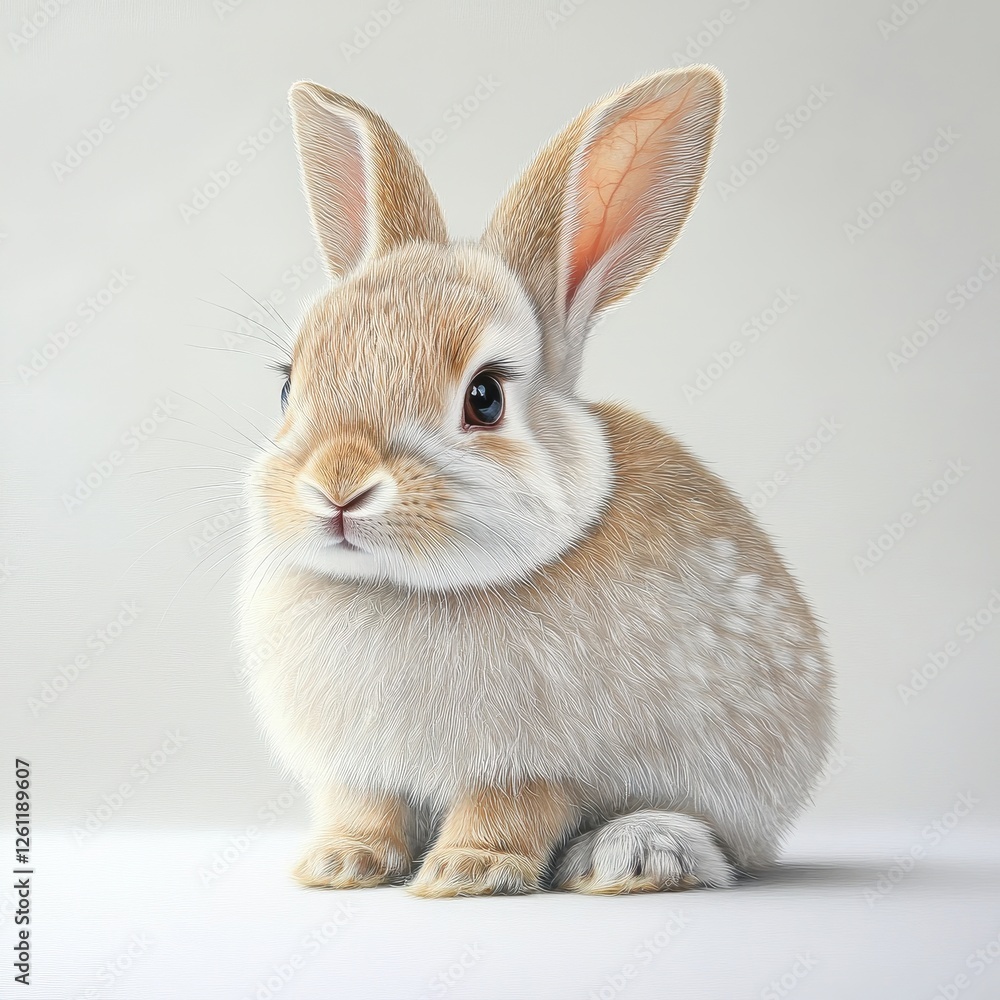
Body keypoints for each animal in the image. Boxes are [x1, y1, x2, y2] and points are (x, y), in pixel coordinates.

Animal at [237, 65, 834, 897]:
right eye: (290, 383)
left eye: (485, 397)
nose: (338, 485)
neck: (404, 589)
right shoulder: (361, 768)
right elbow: (366, 808)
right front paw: (338, 864)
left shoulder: (536, 763)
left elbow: (510, 809)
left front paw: (466, 872)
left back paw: (634, 856)